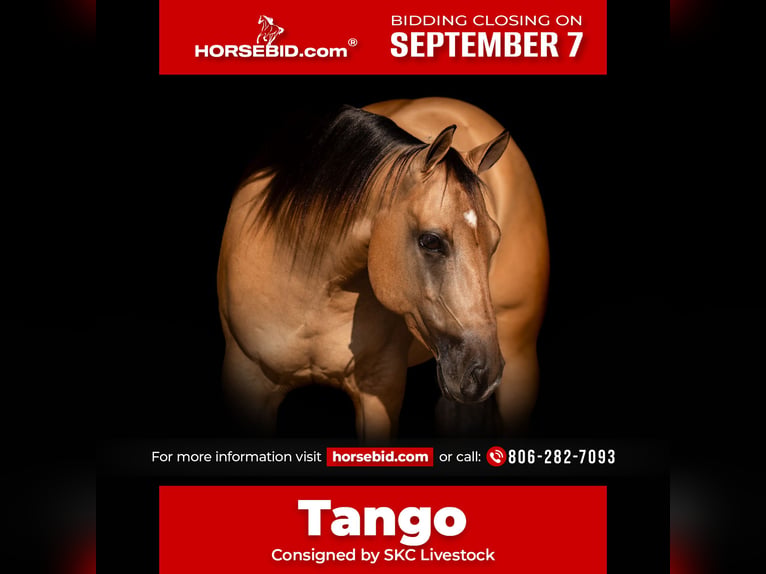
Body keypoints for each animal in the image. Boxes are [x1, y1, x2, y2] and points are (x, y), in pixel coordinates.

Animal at [217, 98, 549, 440]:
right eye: (431, 241)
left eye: (494, 241)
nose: (483, 373)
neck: (309, 286)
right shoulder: (248, 382)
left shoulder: (379, 391)